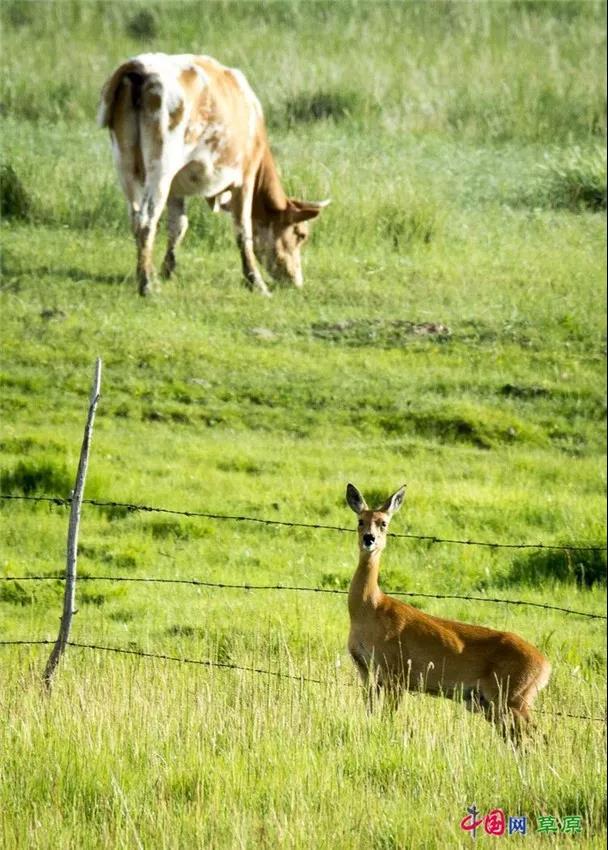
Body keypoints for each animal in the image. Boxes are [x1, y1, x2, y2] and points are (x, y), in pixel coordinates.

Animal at [98, 53, 330, 296]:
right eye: (301, 234)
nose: (296, 281)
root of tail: (140, 68)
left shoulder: (176, 188)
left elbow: (178, 226)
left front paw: (165, 272)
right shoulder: (245, 177)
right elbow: (243, 230)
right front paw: (256, 282)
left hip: (125, 164)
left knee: (135, 217)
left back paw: (145, 274)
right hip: (161, 165)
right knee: (146, 220)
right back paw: (146, 285)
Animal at [346, 484, 552, 736]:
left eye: (384, 523)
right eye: (360, 521)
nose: (369, 538)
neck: (370, 609)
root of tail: (546, 666)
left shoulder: (397, 670)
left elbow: (388, 717)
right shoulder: (365, 670)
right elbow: (371, 713)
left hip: (513, 696)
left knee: (538, 735)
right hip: (496, 703)